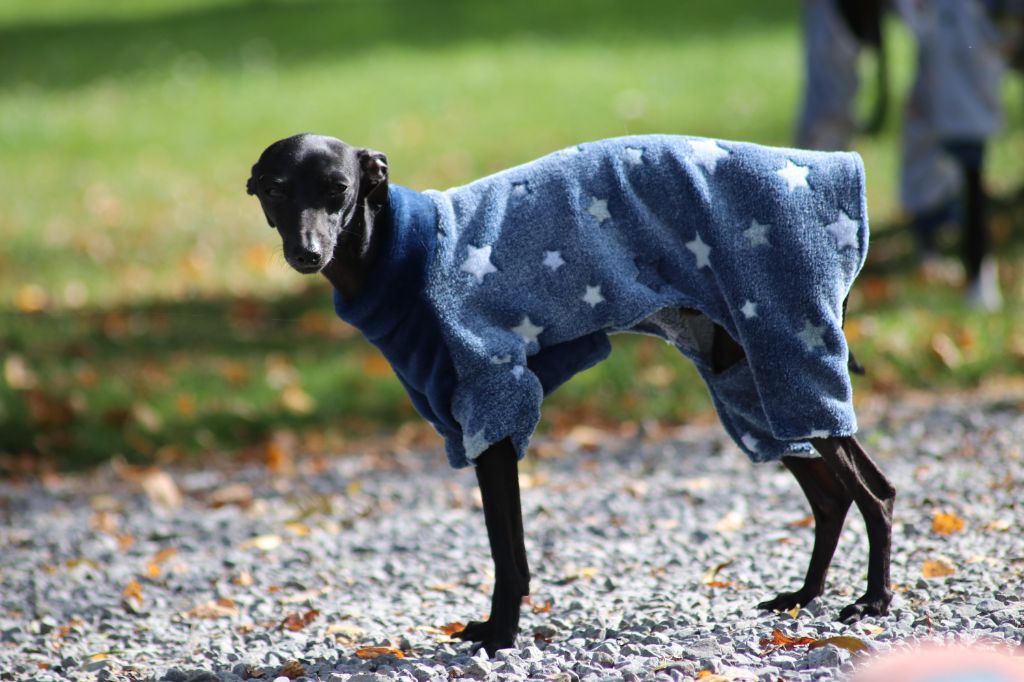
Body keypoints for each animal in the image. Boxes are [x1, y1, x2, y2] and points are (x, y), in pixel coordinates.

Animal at [249, 131, 897, 655]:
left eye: (338, 189)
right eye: (276, 189)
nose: (307, 253)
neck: (396, 254)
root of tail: (830, 166)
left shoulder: (493, 402)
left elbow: (506, 553)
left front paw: (500, 636)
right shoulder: (475, 421)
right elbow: (511, 547)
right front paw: (499, 629)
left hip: (787, 342)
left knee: (875, 493)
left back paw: (873, 601)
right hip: (751, 382)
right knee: (832, 494)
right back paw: (804, 596)